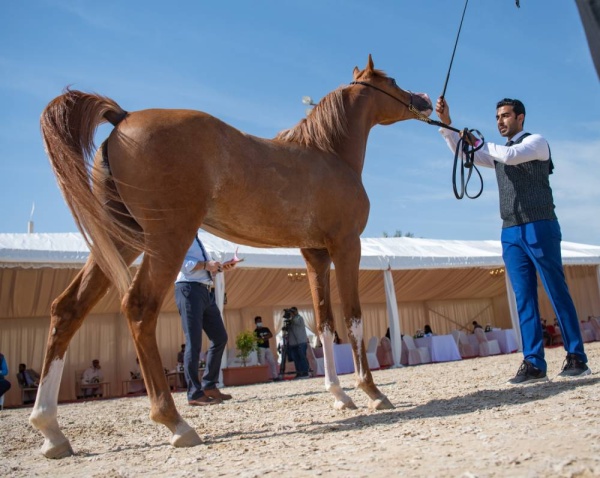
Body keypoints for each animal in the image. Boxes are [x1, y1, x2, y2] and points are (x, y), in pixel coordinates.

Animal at [31, 54, 432, 458]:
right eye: (392, 81)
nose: (426, 101)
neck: (329, 155)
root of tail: (123, 117)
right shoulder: (347, 246)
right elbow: (352, 319)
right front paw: (373, 393)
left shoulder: (315, 255)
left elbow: (324, 323)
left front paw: (339, 395)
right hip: (166, 240)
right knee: (139, 307)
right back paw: (175, 422)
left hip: (122, 239)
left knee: (68, 309)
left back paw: (50, 429)